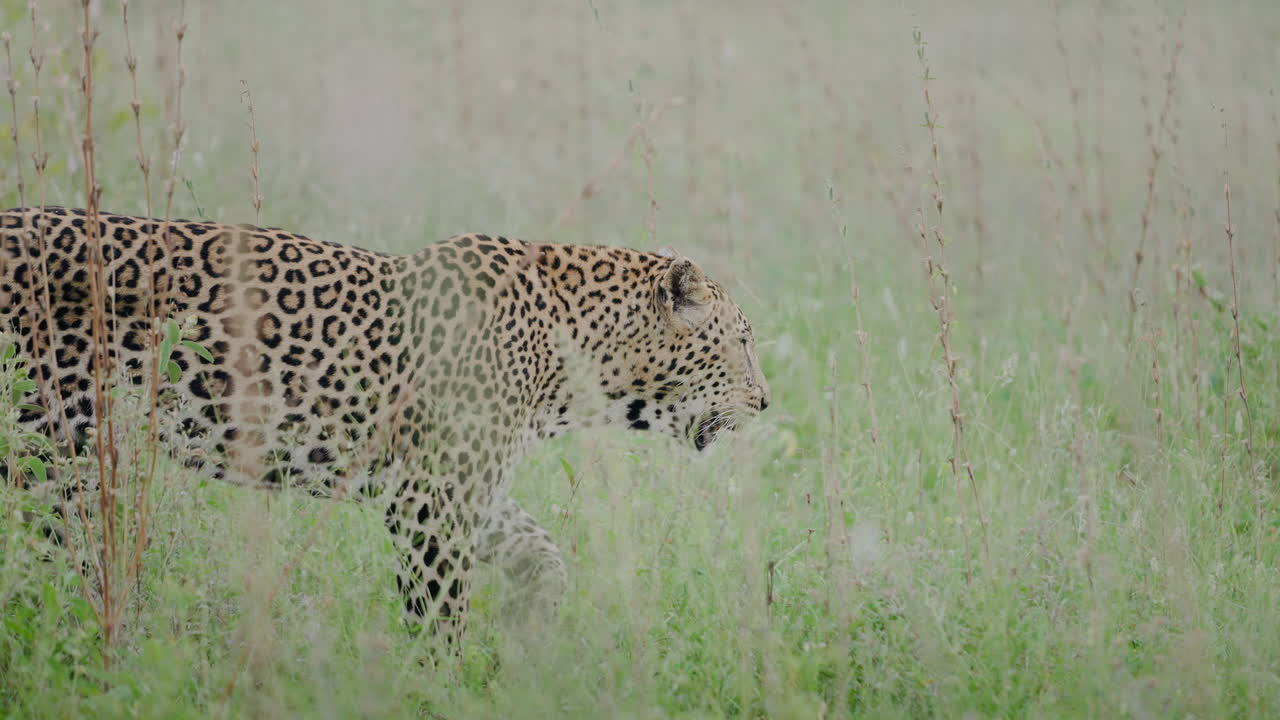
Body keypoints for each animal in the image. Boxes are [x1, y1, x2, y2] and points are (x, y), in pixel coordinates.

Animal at [0, 206, 770, 647]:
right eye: (742, 341)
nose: (766, 402)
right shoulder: (433, 500)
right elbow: (440, 614)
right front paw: (444, 685)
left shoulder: (461, 487)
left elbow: (544, 555)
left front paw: (530, 635)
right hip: (37, 443)